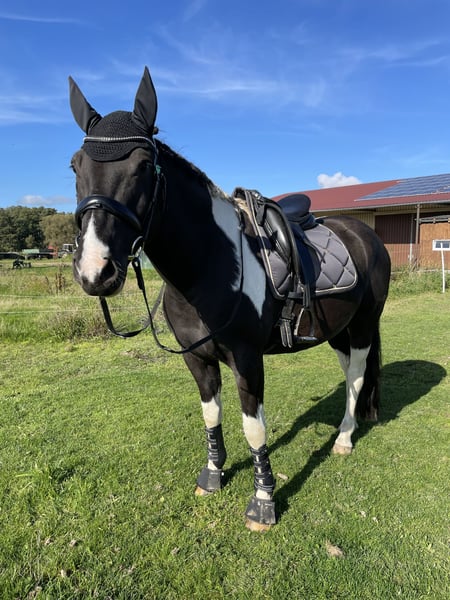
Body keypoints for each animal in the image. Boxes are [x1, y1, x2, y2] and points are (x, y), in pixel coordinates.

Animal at [68, 67, 391, 531]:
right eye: (75, 165)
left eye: (144, 166)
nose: (96, 271)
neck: (209, 266)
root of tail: (365, 234)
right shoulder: (197, 358)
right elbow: (211, 415)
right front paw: (212, 475)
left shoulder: (247, 359)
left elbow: (253, 428)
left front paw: (263, 501)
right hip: (337, 330)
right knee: (349, 371)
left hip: (364, 324)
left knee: (360, 374)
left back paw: (345, 438)